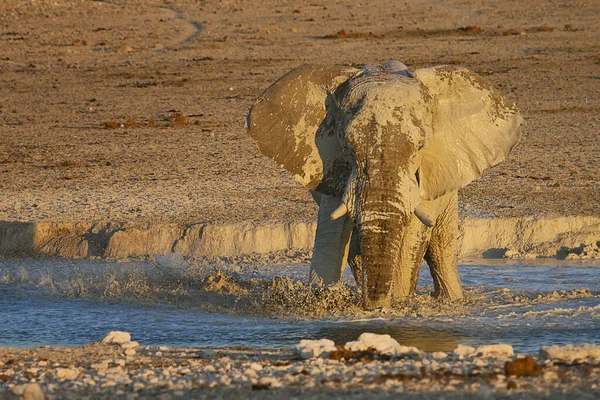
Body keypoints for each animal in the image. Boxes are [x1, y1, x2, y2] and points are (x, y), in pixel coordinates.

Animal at [246, 60, 524, 310]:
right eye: (347, 146)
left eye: (420, 147)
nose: (374, 306)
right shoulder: (334, 166)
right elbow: (331, 232)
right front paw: (324, 300)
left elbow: (413, 234)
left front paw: (396, 303)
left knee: (440, 248)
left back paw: (452, 301)